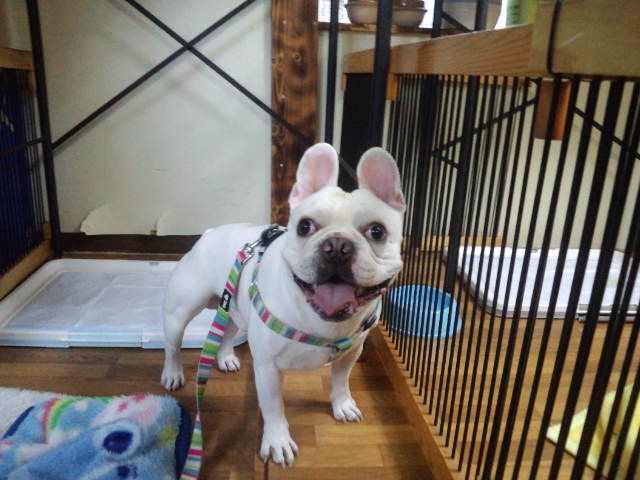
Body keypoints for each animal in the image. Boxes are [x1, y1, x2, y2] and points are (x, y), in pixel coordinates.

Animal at [160, 143, 405, 467]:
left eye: (377, 231)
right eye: (304, 226)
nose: (337, 246)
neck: (321, 320)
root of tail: (210, 233)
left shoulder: (350, 353)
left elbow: (341, 381)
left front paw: (342, 404)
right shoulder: (267, 369)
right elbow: (273, 407)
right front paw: (277, 441)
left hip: (237, 308)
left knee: (229, 332)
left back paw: (225, 357)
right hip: (180, 312)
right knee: (173, 345)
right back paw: (173, 374)